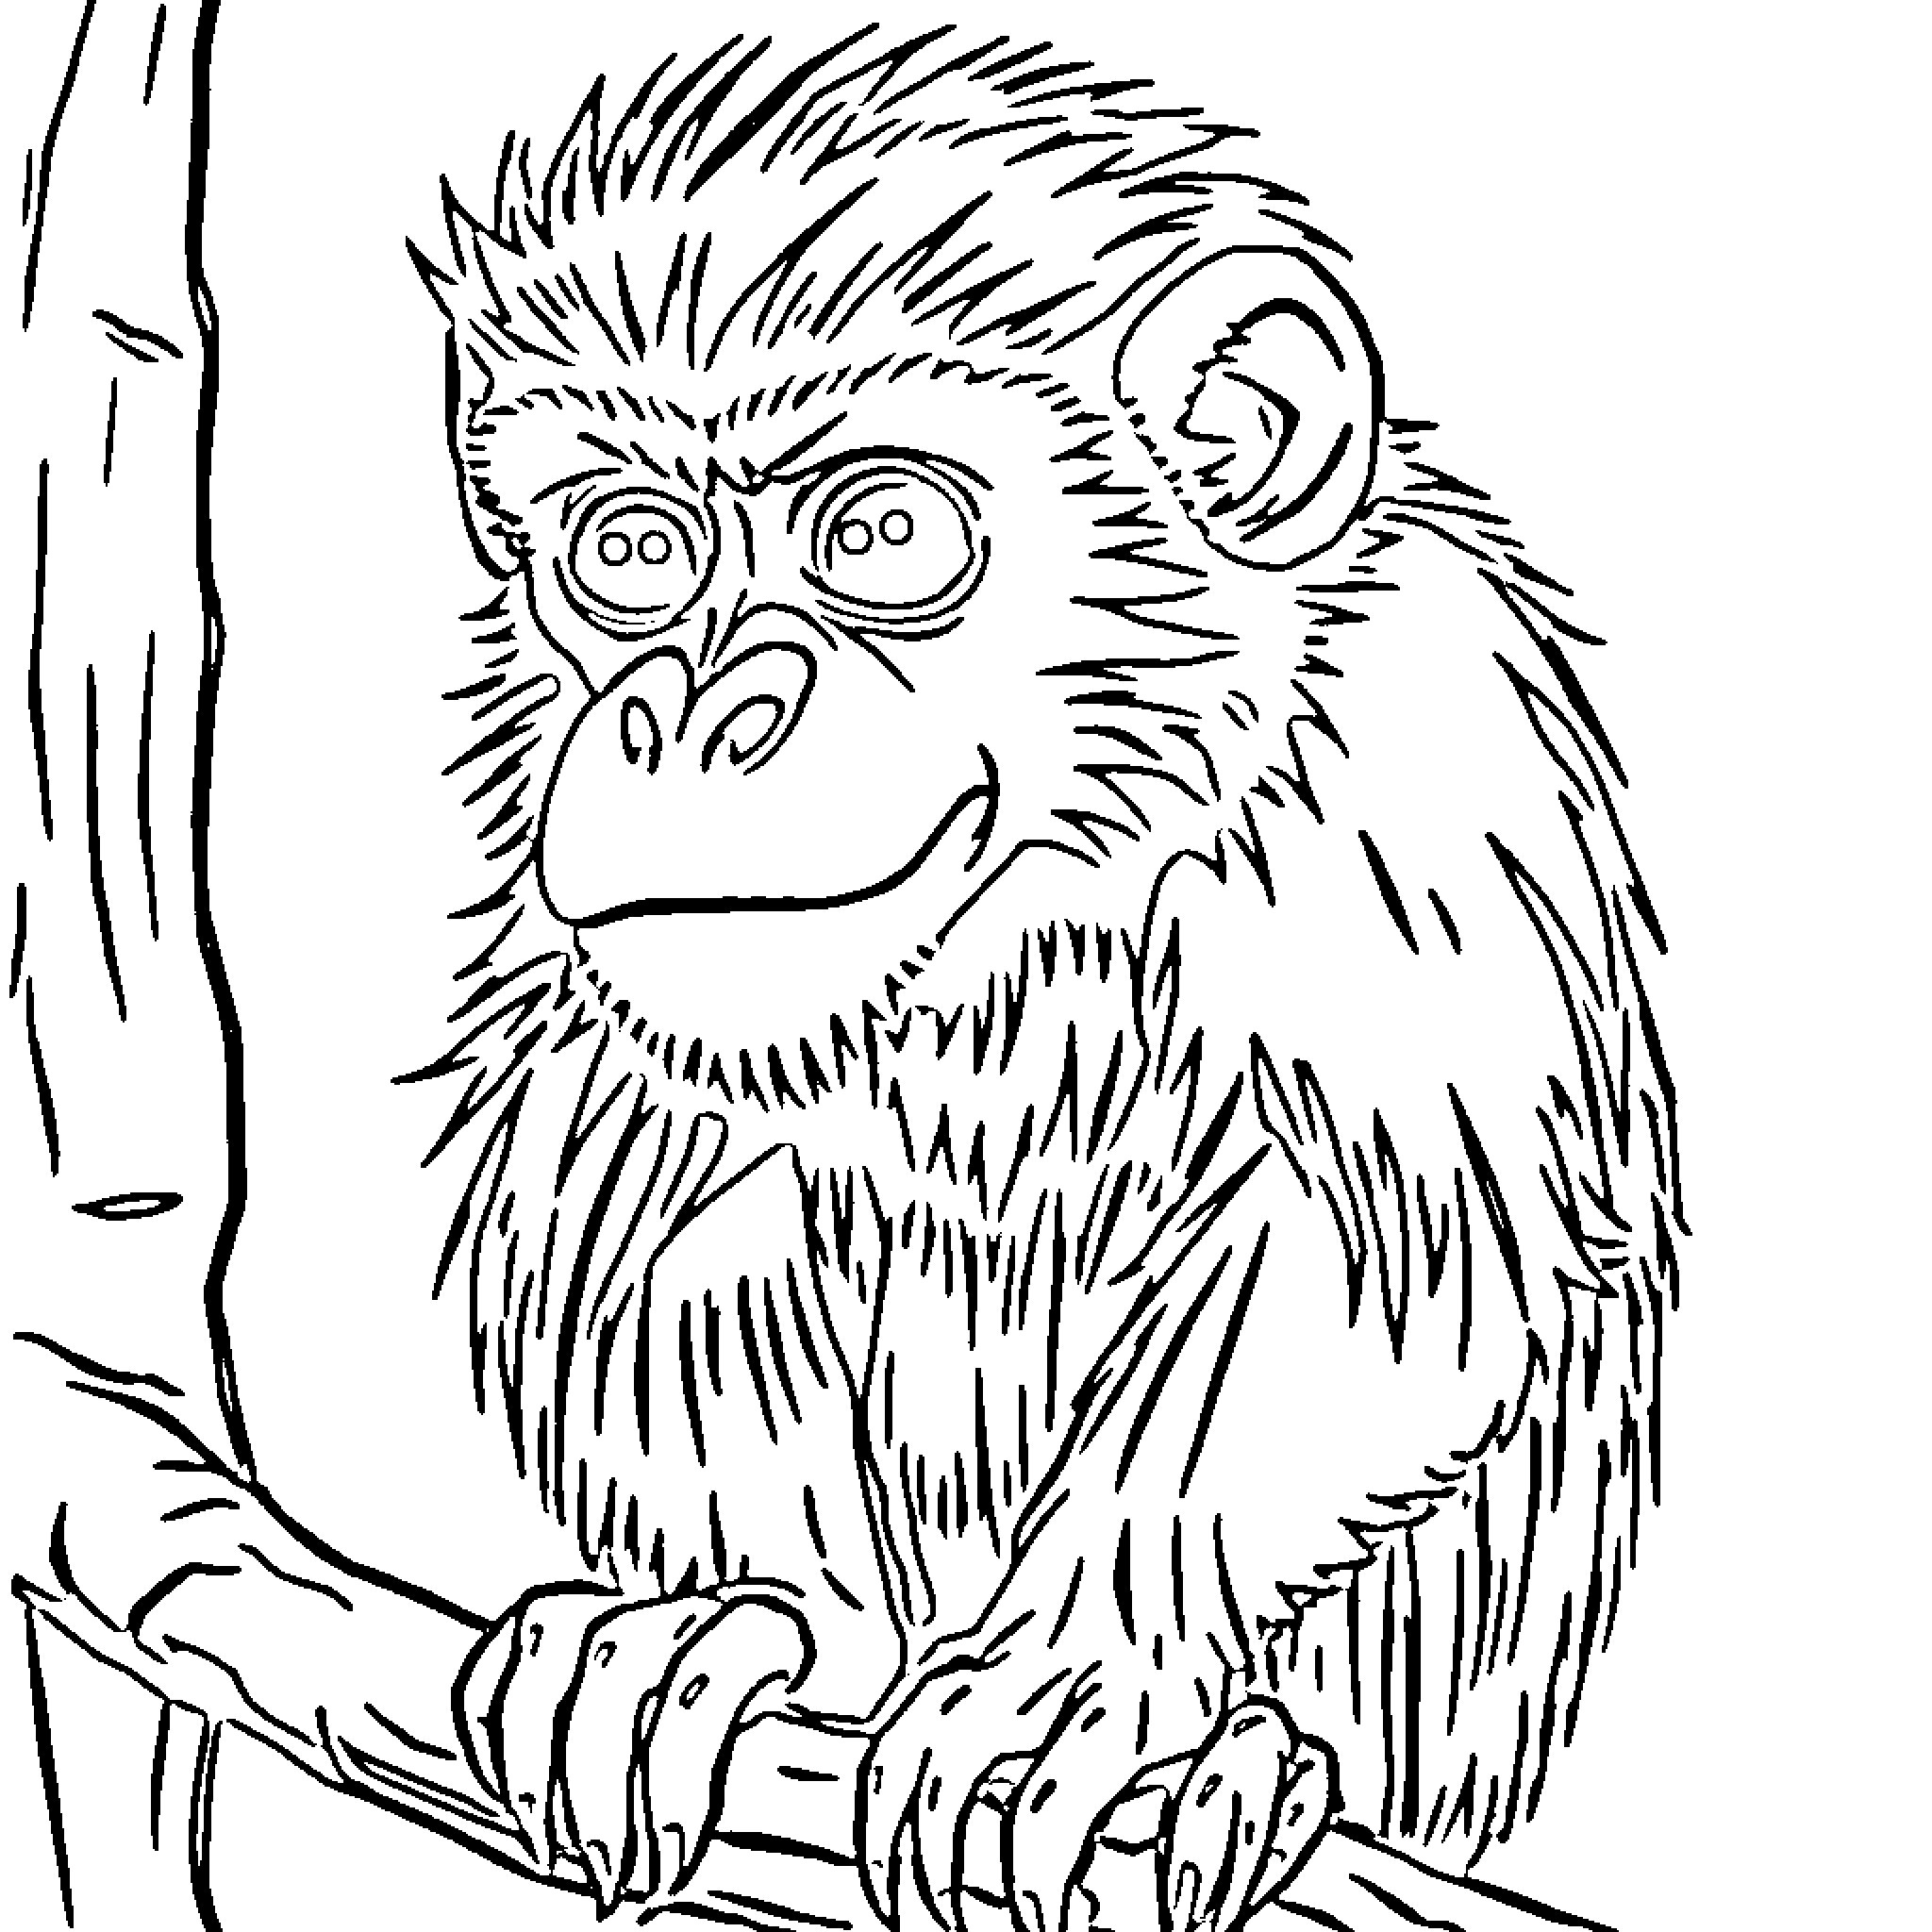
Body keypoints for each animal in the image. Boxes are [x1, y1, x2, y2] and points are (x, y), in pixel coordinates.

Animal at [406, 27, 1683, 1932]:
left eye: (880, 534)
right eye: (627, 555)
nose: (690, 712)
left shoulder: (1409, 795)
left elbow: (1383, 1266)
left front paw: (1075, 1674)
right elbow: (668, 1214)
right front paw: (740, 1619)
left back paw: (1260, 1755)